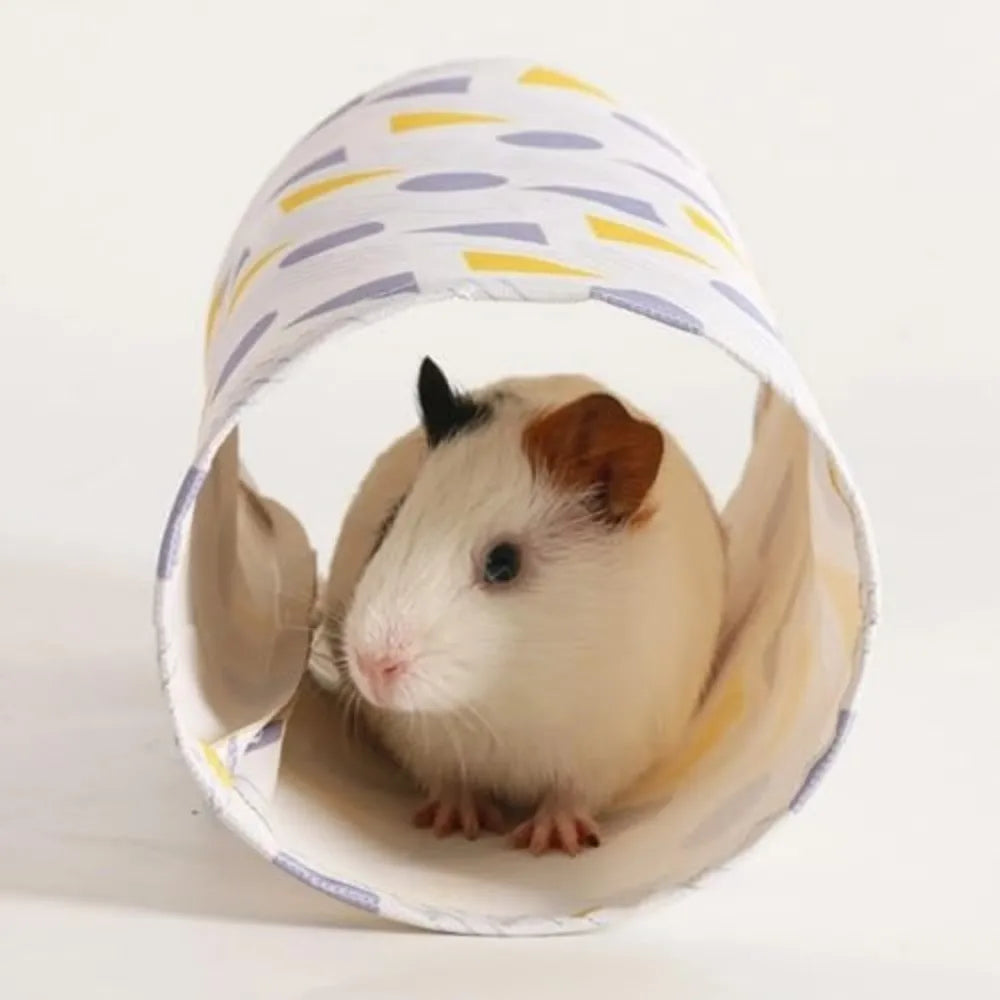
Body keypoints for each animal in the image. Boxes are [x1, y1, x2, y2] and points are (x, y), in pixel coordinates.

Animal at [311, 357, 725, 856]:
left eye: (503, 563)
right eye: (390, 523)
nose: (373, 667)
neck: (504, 700)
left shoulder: (609, 750)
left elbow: (570, 795)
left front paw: (550, 843)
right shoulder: (423, 745)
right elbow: (450, 780)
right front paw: (456, 824)